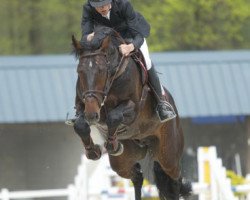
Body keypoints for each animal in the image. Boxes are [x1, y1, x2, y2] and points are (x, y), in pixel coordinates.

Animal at [70, 25, 191, 199]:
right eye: (80, 71)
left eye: (101, 70)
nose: (92, 115)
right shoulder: (83, 105)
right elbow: (80, 124)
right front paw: (93, 151)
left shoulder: (133, 108)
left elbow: (114, 117)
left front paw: (111, 144)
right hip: (123, 161)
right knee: (137, 176)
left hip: (168, 155)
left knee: (174, 181)